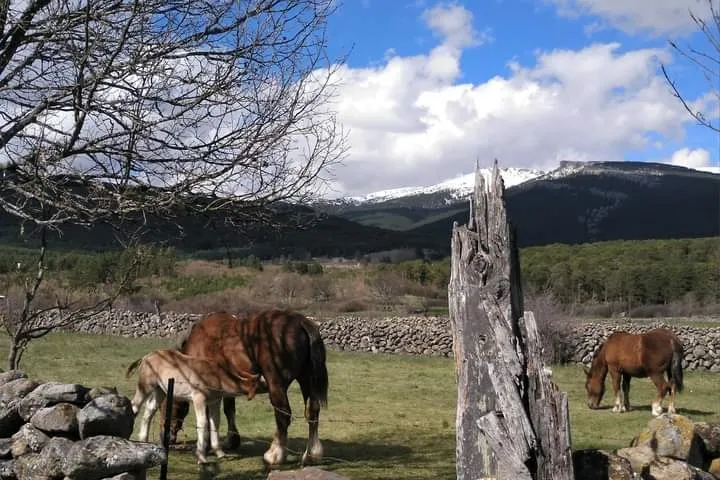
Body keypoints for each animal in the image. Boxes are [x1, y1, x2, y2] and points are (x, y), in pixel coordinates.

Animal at [126, 349, 261, 464]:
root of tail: (145, 357)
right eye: (259, 383)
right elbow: (202, 423)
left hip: (160, 391)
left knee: (149, 412)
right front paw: (201, 457)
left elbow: (215, 422)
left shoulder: (214, 401)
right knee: (134, 406)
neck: (216, 375)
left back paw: (143, 441)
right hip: (145, 386)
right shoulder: (199, 399)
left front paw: (220, 453)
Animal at [162, 309, 329, 466]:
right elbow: (229, 410)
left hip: (276, 384)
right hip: (306, 380)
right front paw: (231, 440)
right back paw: (311, 454)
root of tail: (300, 322)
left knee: (283, 415)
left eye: (166, 407)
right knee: (313, 411)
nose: (167, 438)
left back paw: (275, 454)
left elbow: (209, 415)